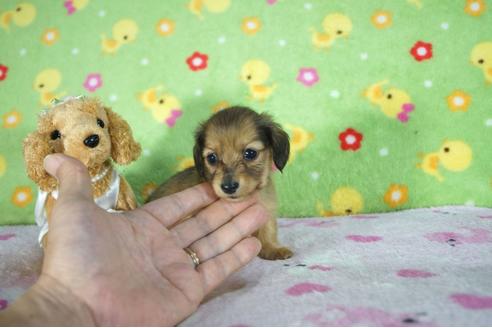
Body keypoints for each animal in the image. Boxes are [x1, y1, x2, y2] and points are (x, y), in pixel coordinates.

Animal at [146, 106, 292, 260]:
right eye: (212, 158)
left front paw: (273, 249)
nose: (229, 187)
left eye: (250, 153)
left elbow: (268, 230)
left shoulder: (267, 208)